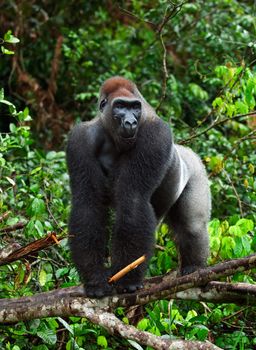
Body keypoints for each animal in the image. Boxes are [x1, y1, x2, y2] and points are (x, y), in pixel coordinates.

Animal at [66, 76, 210, 298]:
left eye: (135, 107)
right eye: (120, 106)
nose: (131, 122)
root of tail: (187, 151)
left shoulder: (156, 135)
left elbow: (132, 200)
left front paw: (127, 278)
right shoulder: (79, 140)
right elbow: (87, 204)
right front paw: (95, 278)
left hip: (196, 169)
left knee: (192, 225)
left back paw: (194, 267)